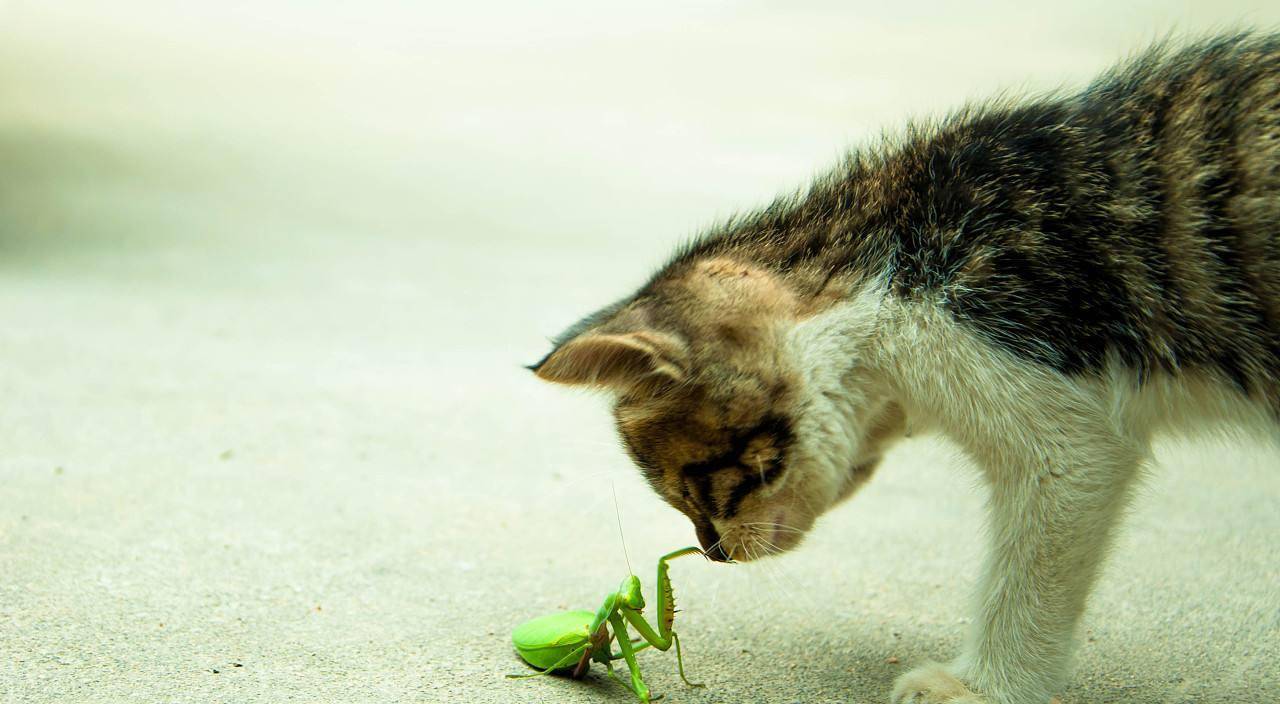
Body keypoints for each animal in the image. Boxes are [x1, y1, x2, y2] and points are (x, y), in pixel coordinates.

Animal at [524, 35, 1274, 704]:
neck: (887, 260)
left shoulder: (1066, 441)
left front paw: (987, 687)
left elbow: (1027, 584)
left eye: (696, 486)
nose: (711, 552)